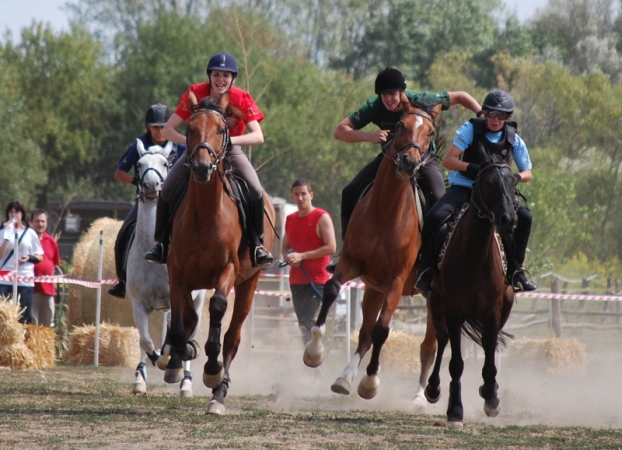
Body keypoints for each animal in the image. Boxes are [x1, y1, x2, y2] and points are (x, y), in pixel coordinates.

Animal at [129, 141, 207, 398]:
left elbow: (175, 338)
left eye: (165, 164)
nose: (151, 185)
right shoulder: (138, 302)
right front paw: (143, 376)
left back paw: (185, 382)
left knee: (189, 333)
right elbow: (145, 340)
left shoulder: (177, 300)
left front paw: (168, 364)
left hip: (197, 300)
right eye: (139, 164)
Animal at [166, 91, 276, 414]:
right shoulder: (177, 273)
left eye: (221, 129)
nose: (202, 167)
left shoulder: (227, 271)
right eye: (190, 129)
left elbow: (216, 310)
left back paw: (219, 393)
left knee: (232, 337)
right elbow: (180, 324)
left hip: (249, 283)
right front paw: (180, 354)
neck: (204, 214)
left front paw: (212, 371)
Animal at [304, 96, 444, 400]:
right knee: (365, 334)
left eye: (429, 133)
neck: (385, 211)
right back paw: (344, 378)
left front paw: (370, 382)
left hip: (430, 297)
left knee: (429, 346)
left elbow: (383, 329)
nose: (409, 163)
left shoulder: (396, 280)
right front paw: (314, 352)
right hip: (373, 289)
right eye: (400, 126)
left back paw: (419, 397)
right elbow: (331, 290)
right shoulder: (352, 263)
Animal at [424, 149, 516, 428]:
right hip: (436, 303)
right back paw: (433, 389)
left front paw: (491, 396)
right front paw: (455, 410)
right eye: (488, 182)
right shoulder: (454, 311)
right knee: (441, 340)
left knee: (486, 344)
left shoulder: (493, 312)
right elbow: (456, 363)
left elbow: (489, 356)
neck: (475, 255)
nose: (509, 219)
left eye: (513, 181)